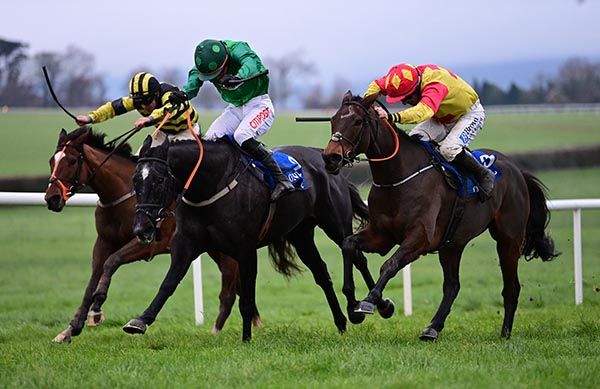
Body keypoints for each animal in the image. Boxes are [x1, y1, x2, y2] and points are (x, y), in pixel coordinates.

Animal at [45, 126, 262, 342]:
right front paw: (70, 329)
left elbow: (112, 261)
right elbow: (92, 281)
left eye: (72, 161)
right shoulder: (104, 241)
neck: (123, 195)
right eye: (51, 161)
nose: (51, 198)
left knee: (229, 288)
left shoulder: (149, 242)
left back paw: (219, 329)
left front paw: (97, 308)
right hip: (214, 247)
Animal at [125, 136, 384, 340]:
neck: (210, 186)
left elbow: (247, 298)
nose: (141, 228)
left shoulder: (246, 249)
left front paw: (246, 338)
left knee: (356, 255)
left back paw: (371, 306)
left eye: (159, 179)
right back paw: (341, 322)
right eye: (135, 179)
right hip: (300, 234)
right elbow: (169, 283)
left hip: (335, 224)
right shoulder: (186, 244)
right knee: (321, 273)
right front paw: (140, 320)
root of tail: (325, 158)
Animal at [322, 91, 560, 340]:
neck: (398, 178)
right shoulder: (381, 235)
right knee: (452, 286)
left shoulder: (420, 238)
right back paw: (433, 328)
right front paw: (358, 306)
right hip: (452, 244)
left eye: (358, 121)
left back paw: (504, 334)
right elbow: (349, 244)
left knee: (511, 288)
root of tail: (517, 171)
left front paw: (370, 302)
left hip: (509, 239)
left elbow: (390, 264)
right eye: (333, 120)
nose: (331, 158)